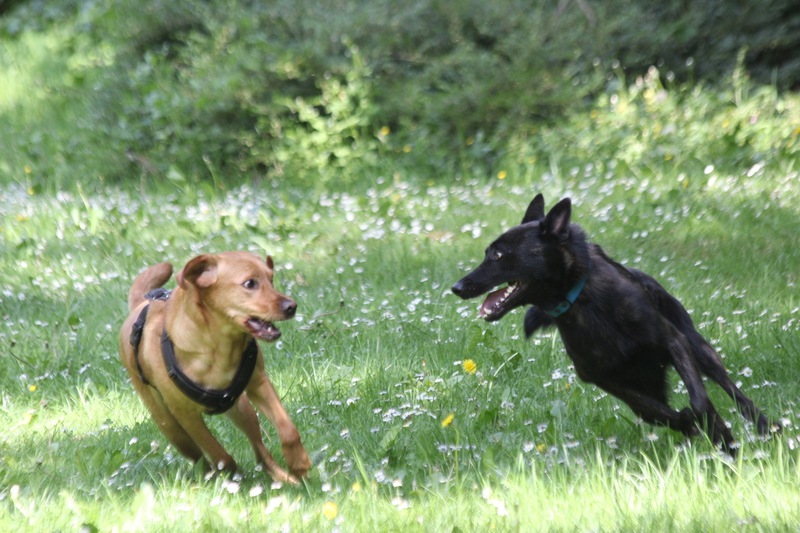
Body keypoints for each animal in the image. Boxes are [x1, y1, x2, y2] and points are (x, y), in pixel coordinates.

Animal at [119, 252, 310, 482]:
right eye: (250, 283)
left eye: (271, 279)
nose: (291, 307)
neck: (221, 346)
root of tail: (139, 304)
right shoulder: (186, 415)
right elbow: (217, 452)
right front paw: (231, 474)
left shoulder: (259, 383)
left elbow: (288, 429)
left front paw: (298, 462)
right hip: (172, 428)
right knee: (200, 457)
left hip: (244, 410)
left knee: (261, 452)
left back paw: (284, 478)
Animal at [452, 193, 778, 453]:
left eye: (497, 254)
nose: (457, 287)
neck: (582, 300)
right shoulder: (603, 378)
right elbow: (655, 411)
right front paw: (689, 424)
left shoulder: (673, 341)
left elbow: (699, 401)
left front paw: (721, 434)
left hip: (700, 348)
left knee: (733, 391)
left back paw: (765, 427)